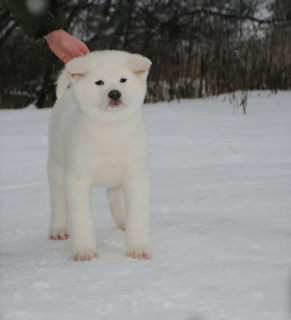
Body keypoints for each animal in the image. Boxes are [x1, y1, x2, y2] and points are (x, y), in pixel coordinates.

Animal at [47, 50, 153, 260]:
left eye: (123, 79)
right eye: (99, 82)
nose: (115, 93)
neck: (110, 128)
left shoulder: (136, 175)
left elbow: (137, 214)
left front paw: (138, 248)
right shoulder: (77, 178)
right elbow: (82, 217)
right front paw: (84, 251)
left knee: (115, 198)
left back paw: (123, 222)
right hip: (56, 168)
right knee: (58, 202)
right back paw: (58, 230)